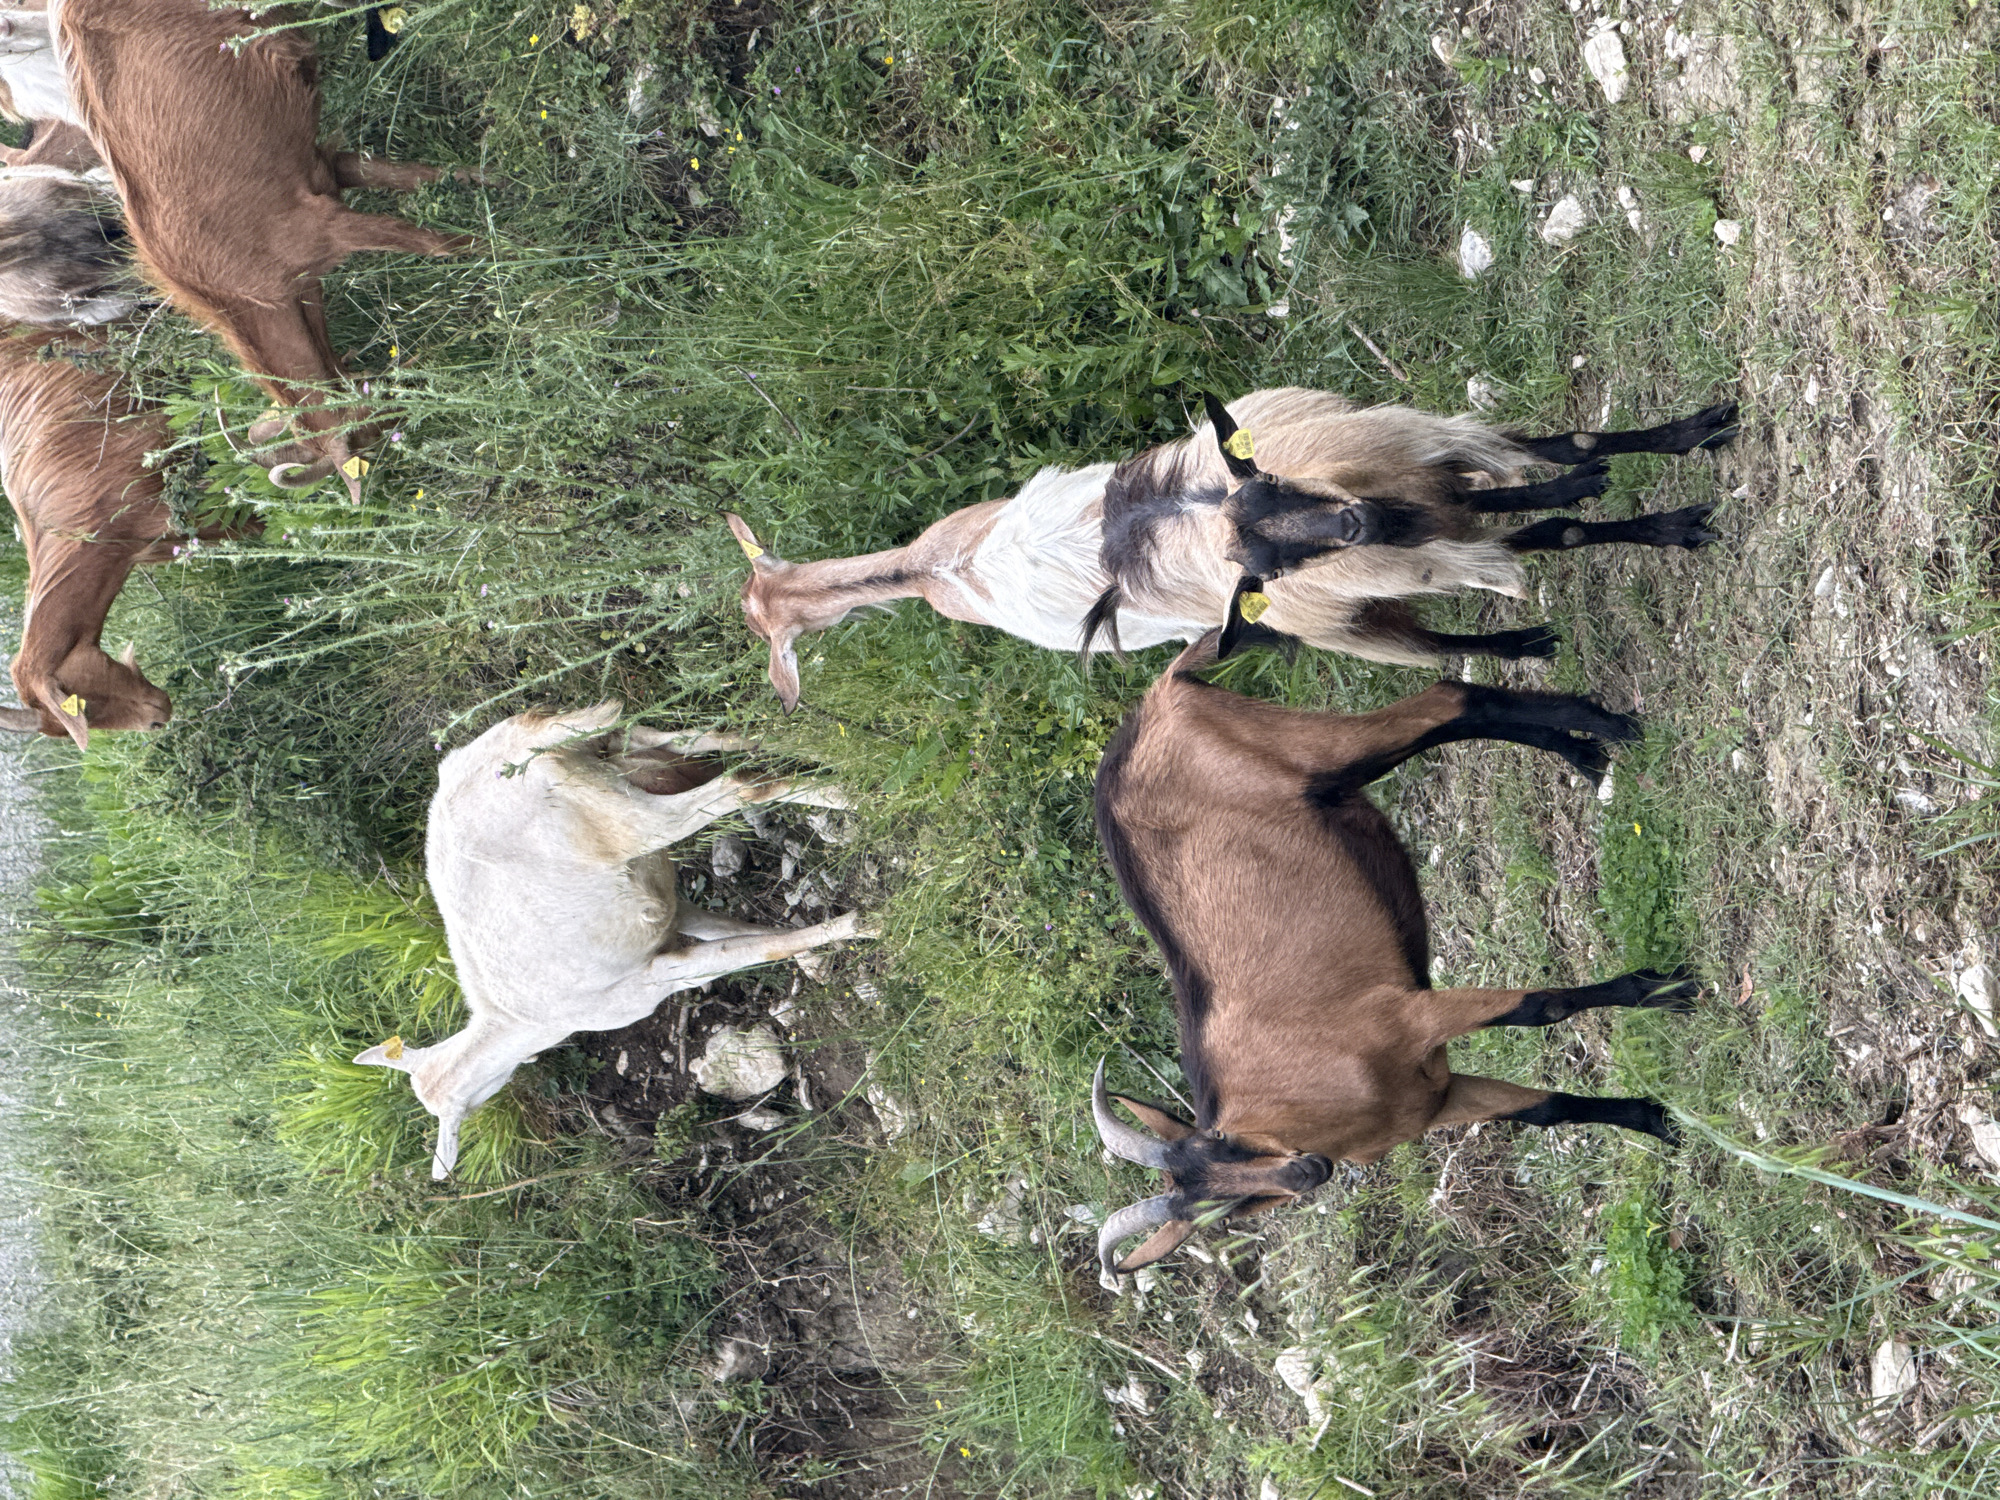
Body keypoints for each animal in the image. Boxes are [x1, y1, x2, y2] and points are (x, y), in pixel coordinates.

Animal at [57, 0, 476, 500]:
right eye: (371, 435)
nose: (409, 399)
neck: (238, 286)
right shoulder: (326, 174)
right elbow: (400, 175)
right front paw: (484, 181)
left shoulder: (326, 224)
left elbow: (435, 244)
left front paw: (506, 249)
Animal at [355, 702, 874, 1179]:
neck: (514, 1023)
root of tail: (528, 741)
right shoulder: (672, 913)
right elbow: (742, 935)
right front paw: (828, 950)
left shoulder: (646, 984)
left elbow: (750, 950)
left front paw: (860, 925)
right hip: (620, 746)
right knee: (723, 736)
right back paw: (840, 751)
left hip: (624, 818)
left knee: (738, 784)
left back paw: (851, 799)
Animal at [1087, 631, 1698, 1274]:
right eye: (1220, 1215)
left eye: (1222, 1145)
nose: (1307, 1172)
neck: (1303, 1098)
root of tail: (1158, 694)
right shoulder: (1438, 1096)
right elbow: (1544, 1109)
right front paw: (1655, 1120)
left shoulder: (1406, 1015)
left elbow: (1541, 1007)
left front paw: (1663, 990)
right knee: (1448, 715)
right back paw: (1584, 750)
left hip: (1312, 751)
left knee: (1447, 699)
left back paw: (1603, 725)